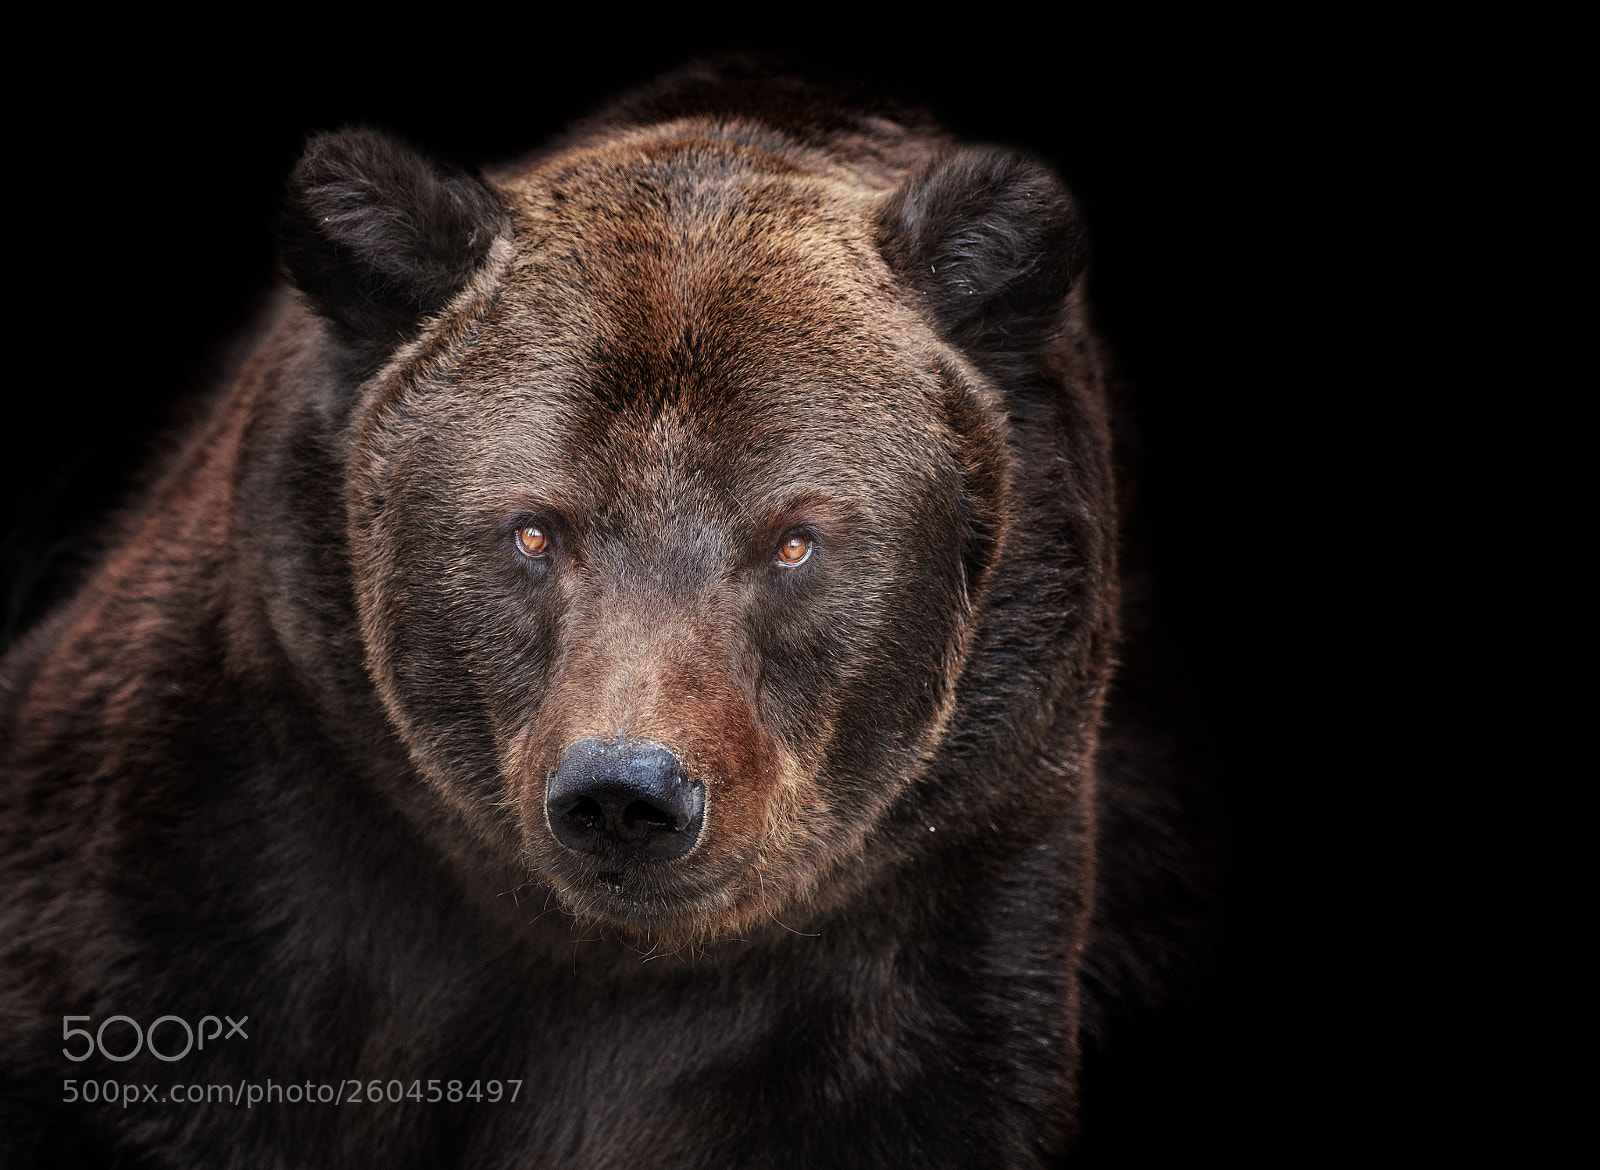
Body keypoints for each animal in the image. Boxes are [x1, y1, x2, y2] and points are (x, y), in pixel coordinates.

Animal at [0, 60, 1217, 1168]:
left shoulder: (939, 930)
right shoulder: (235, 843)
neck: (589, 956)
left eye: (793, 538)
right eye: (536, 530)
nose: (628, 793)